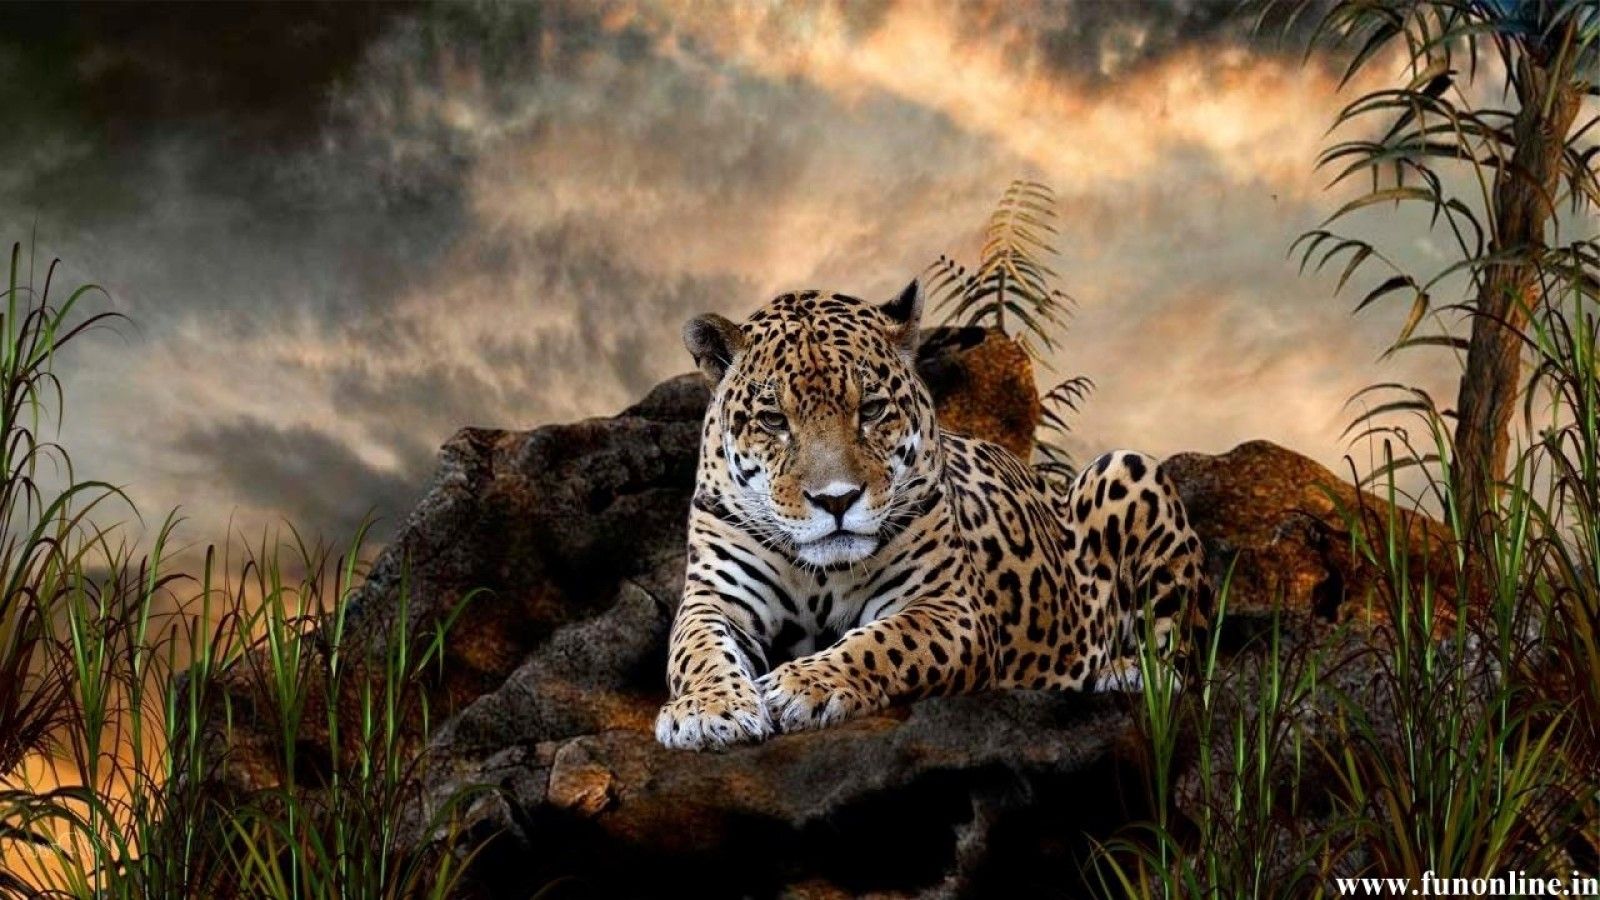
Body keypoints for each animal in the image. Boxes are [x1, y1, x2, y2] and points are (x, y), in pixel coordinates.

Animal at [655, 280, 1210, 751]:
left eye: (871, 410)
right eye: (773, 420)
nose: (836, 500)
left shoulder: (948, 607)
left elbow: (882, 643)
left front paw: (802, 684)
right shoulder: (715, 598)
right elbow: (697, 649)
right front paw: (708, 709)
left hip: (1127, 469)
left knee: (1183, 659)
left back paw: (1124, 673)